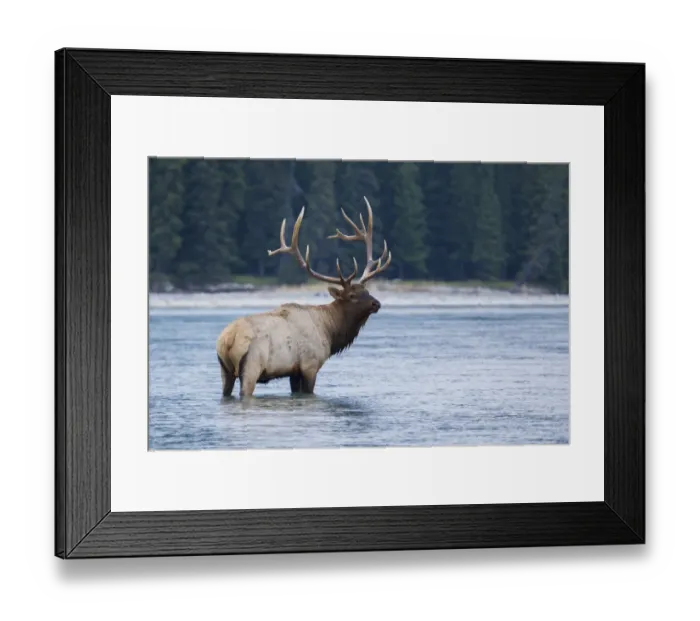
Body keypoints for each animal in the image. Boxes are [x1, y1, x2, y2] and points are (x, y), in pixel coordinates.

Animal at [215, 197, 392, 398]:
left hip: (225, 370)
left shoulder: (294, 371)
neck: (330, 331)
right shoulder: (310, 365)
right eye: (352, 295)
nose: (376, 303)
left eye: (367, 291)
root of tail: (227, 340)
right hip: (252, 364)